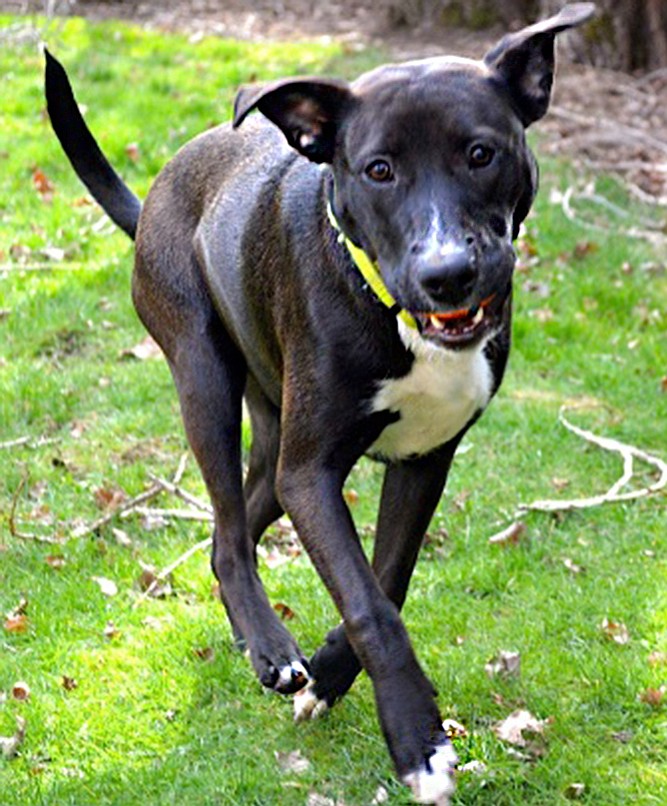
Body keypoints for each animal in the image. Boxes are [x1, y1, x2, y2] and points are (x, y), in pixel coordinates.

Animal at [43, 4, 596, 800]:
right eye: (378, 170)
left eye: (481, 153)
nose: (449, 275)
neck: (393, 312)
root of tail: (161, 185)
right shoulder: (312, 474)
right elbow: (368, 602)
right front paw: (417, 742)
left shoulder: (423, 458)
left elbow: (388, 580)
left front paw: (335, 677)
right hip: (203, 375)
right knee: (229, 533)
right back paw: (270, 646)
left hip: (275, 432)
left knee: (234, 530)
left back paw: (261, 642)